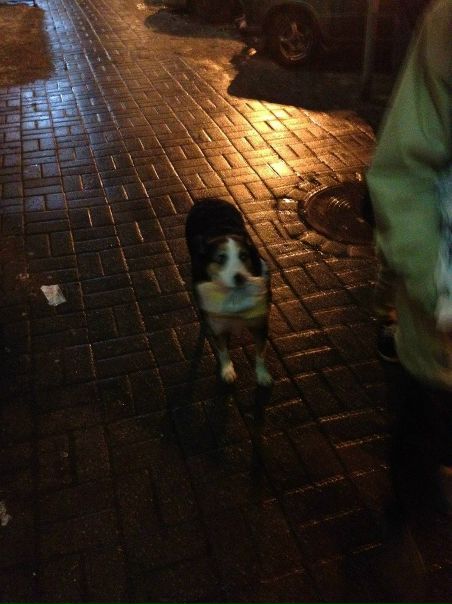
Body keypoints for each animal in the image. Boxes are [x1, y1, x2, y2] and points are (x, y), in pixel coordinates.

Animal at [185, 198, 272, 386]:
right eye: (221, 258)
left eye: (243, 256)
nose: (240, 278)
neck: (234, 295)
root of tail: (208, 199)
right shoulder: (218, 326)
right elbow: (223, 350)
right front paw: (227, 371)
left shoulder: (260, 323)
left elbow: (260, 352)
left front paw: (263, 375)